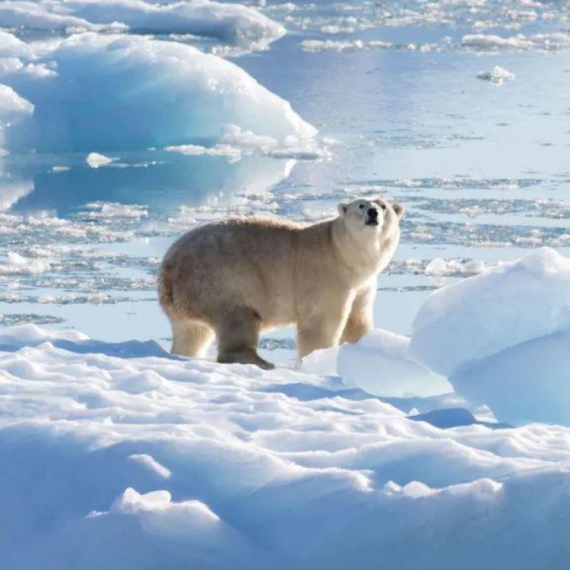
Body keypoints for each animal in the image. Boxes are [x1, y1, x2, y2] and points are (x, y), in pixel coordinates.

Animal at [158, 197, 402, 368]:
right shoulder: (325, 275)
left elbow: (357, 320)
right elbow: (321, 323)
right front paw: (319, 359)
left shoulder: (363, 284)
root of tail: (168, 267)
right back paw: (261, 362)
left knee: (192, 332)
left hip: (189, 296)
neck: (343, 253)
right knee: (238, 319)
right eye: (360, 205)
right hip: (221, 279)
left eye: (383, 205)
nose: (372, 212)